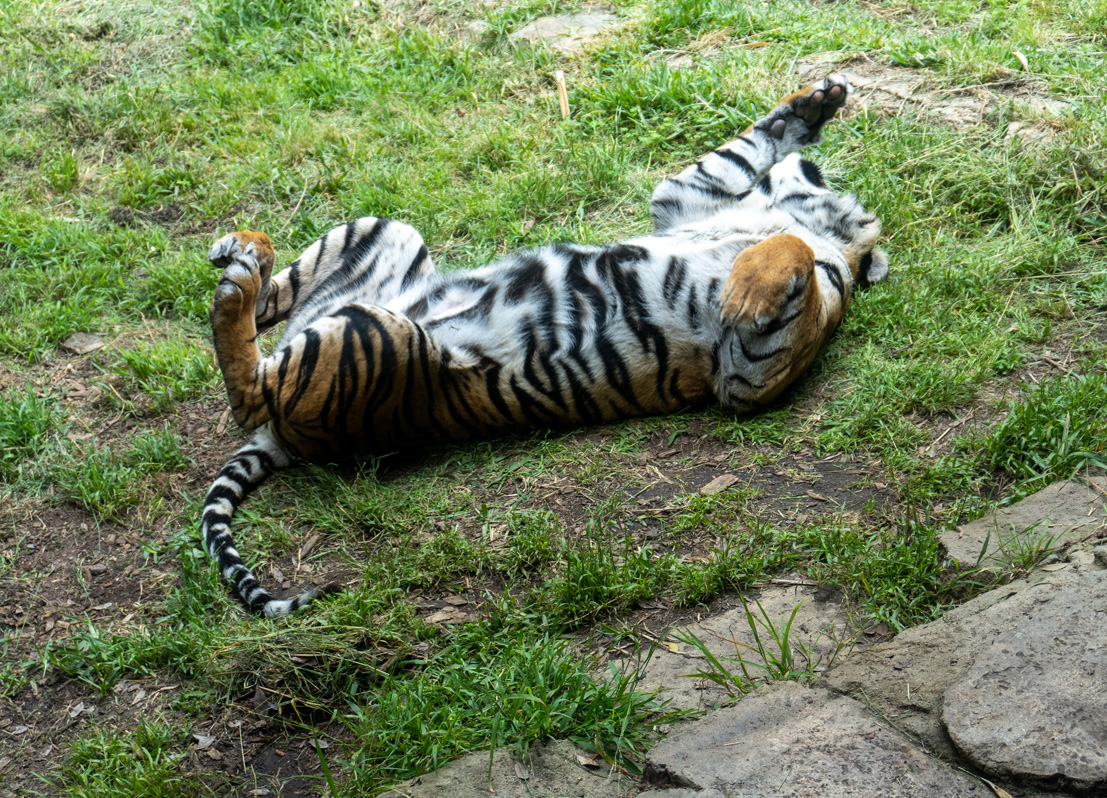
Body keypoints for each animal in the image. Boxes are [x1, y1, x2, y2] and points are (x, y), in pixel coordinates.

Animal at [201, 75, 888, 618]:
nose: (817, 169)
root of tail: (286, 439)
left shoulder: (749, 374)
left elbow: (792, 253)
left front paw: (751, 286)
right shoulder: (687, 196)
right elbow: (742, 155)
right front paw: (811, 107)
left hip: (376, 337)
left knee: (249, 387)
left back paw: (236, 280)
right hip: (382, 236)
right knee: (268, 310)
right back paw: (244, 251)